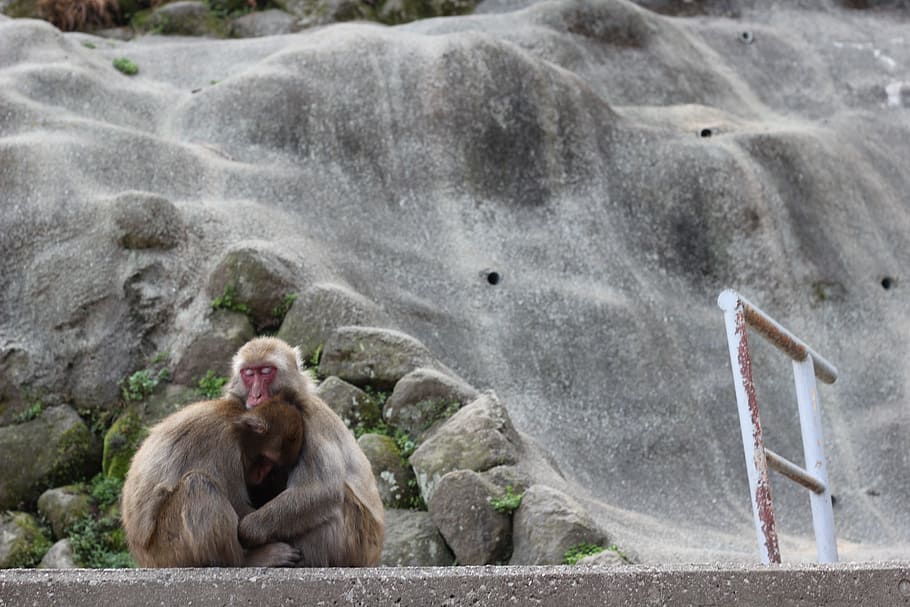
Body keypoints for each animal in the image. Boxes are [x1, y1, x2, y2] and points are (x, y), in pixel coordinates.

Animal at [121, 396, 304, 568]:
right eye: (266, 460)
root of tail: (142, 557)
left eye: (272, 465)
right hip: (168, 550)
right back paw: (246, 560)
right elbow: (239, 508)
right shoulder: (226, 449)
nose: (261, 475)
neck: (236, 422)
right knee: (197, 484)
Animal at [225, 336, 385, 567]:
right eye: (248, 373)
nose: (256, 395)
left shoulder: (311, 420)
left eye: (266, 371)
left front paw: (247, 532)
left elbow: (321, 490)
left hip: (358, 544)